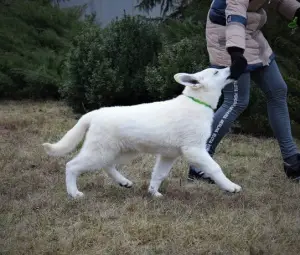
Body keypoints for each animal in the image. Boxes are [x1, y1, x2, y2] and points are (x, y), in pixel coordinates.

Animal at [43, 66, 241, 198]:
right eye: (216, 72)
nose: (233, 66)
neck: (198, 102)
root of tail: (95, 113)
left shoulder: (168, 155)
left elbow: (159, 174)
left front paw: (153, 193)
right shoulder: (195, 150)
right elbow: (215, 167)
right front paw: (230, 186)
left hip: (121, 151)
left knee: (107, 166)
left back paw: (123, 182)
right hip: (100, 151)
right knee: (72, 166)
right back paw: (74, 193)